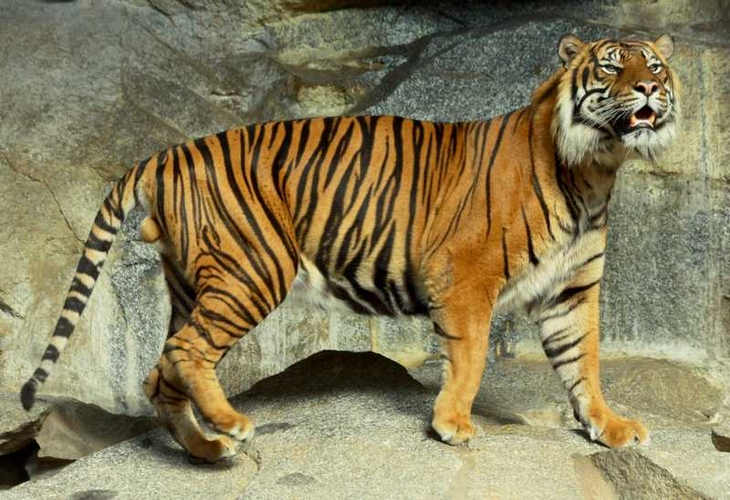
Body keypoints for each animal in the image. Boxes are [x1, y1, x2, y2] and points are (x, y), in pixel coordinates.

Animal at [21, 33, 679, 463]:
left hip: (193, 282)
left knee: (160, 372)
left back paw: (207, 449)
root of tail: (167, 153)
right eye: (612, 68)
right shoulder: (465, 275)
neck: (595, 170)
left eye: (653, 65)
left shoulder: (571, 291)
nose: (648, 87)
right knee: (186, 351)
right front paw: (453, 425)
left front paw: (610, 427)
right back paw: (232, 424)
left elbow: (584, 365)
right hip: (252, 268)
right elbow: (468, 358)